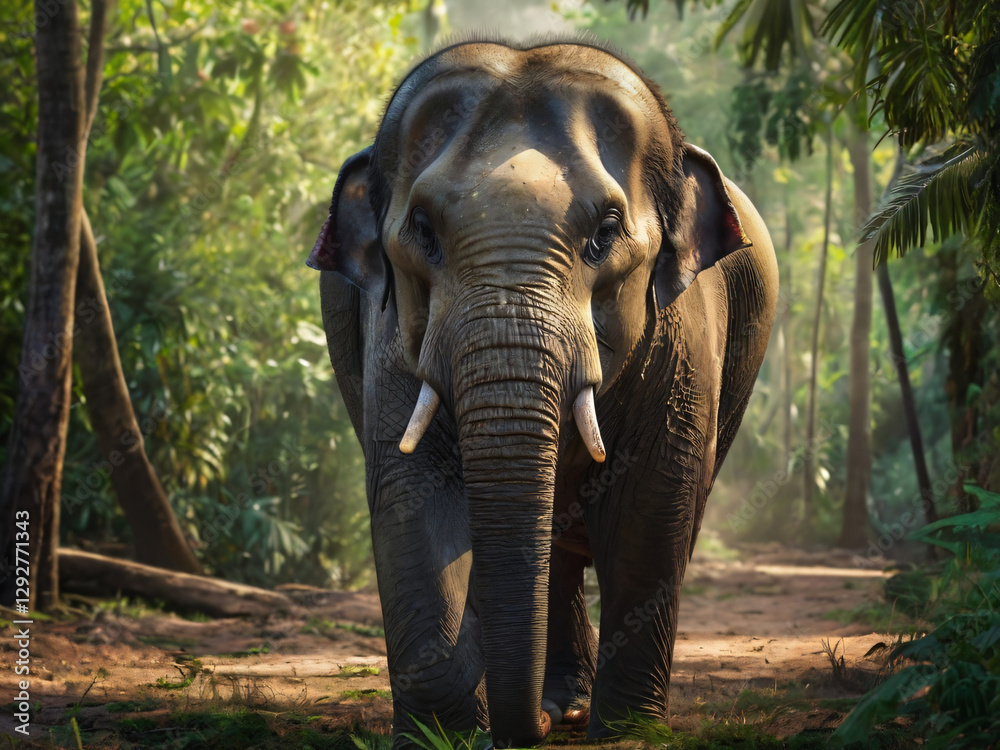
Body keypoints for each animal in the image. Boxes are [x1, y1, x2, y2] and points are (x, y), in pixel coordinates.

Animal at [307, 37, 778, 748]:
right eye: (423, 230)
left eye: (604, 232)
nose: (527, 729)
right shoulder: (387, 331)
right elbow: (412, 496)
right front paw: (442, 734)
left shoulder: (684, 339)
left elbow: (651, 502)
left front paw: (627, 732)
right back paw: (558, 704)